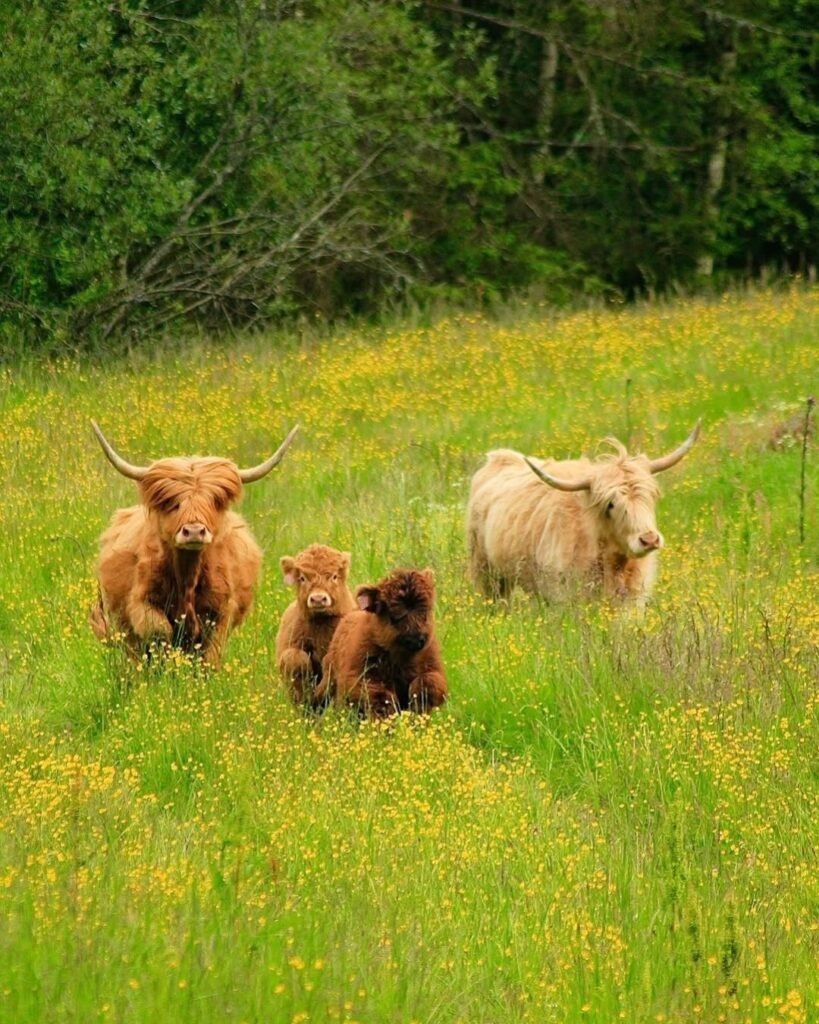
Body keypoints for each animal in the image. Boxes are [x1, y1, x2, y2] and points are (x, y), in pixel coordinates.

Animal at [317, 569, 450, 720]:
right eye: (393, 615)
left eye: (425, 611)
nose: (415, 639)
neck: (404, 661)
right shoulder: (365, 677)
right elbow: (381, 698)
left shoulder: (433, 669)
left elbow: (426, 683)